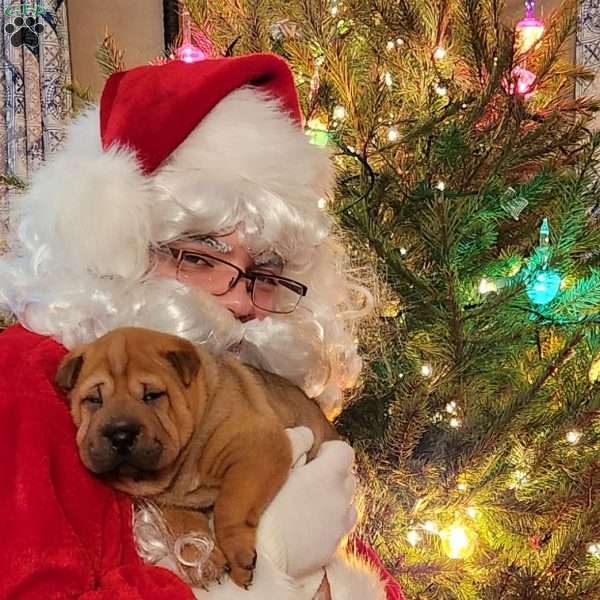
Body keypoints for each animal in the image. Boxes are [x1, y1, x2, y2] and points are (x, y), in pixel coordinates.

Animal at [54, 326, 338, 588]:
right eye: (94, 400)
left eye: (152, 396)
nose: (121, 435)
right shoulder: (174, 502)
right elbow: (184, 525)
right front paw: (204, 558)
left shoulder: (258, 447)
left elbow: (230, 506)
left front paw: (237, 556)